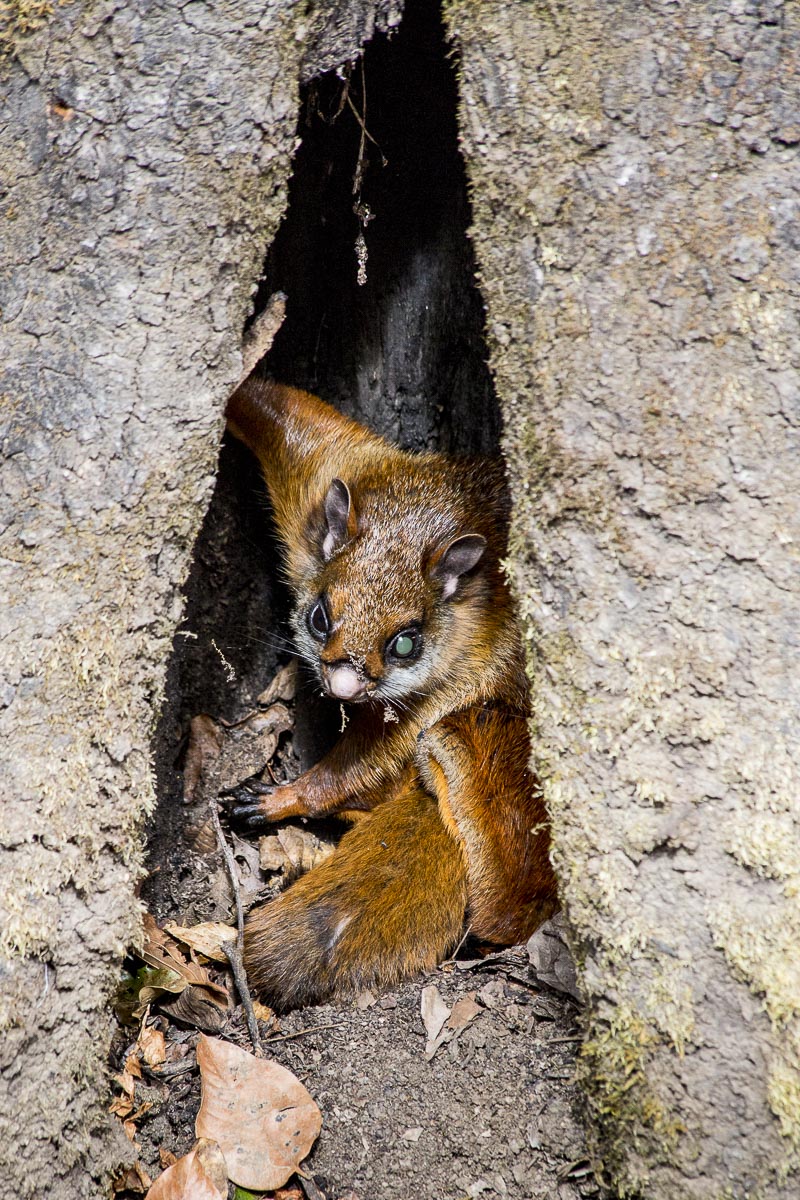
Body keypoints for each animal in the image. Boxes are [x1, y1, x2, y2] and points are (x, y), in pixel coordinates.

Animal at [225, 377, 558, 1008]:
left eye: (405, 644)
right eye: (320, 617)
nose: (343, 685)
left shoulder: (450, 685)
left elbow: (358, 765)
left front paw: (282, 798)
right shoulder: (326, 468)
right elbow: (270, 405)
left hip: (456, 732)